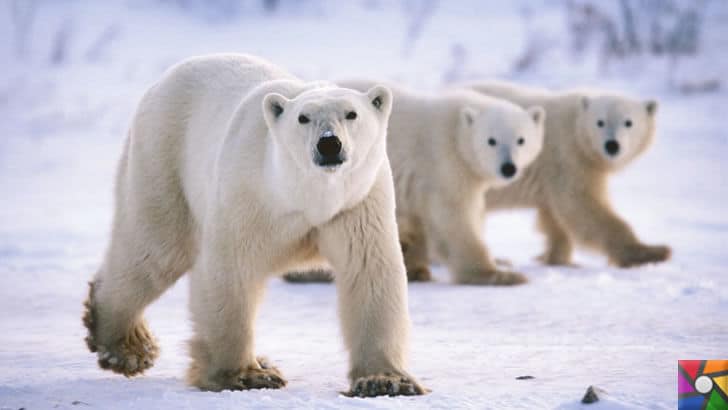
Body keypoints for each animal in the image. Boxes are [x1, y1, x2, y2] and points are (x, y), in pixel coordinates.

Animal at [83, 54, 426, 398]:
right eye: (303, 118)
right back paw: (126, 346)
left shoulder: (357, 203)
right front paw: (245, 375)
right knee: (156, 249)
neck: (303, 195)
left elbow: (369, 271)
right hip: (163, 158)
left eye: (352, 113)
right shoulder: (248, 194)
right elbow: (231, 270)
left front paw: (385, 380)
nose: (329, 144)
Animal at [464, 81, 672, 268]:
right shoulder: (567, 156)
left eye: (628, 122)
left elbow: (554, 216)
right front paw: (653, 252)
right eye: (600, 122)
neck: (576, 128)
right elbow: (581, 205)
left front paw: (556, 258)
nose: (612, 145)